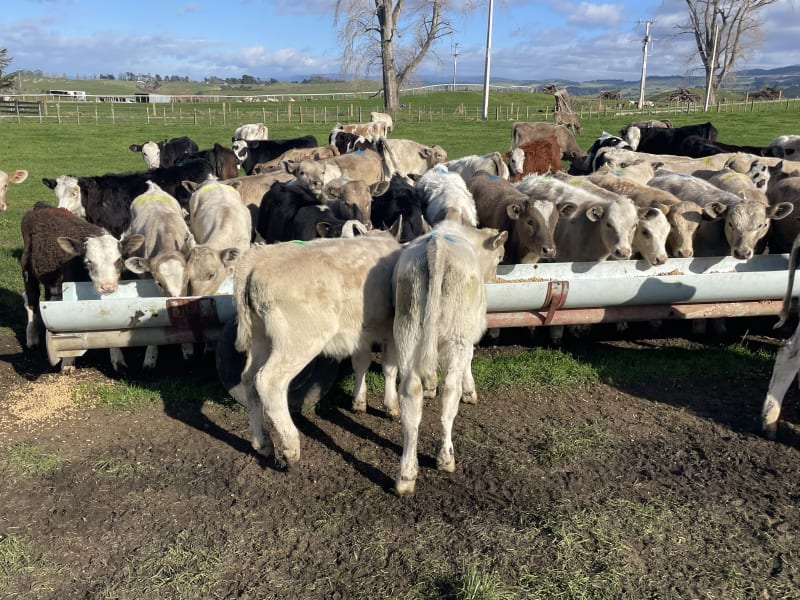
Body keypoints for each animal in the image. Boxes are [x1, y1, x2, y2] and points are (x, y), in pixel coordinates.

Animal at [20, 202, 144, 372]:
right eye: (88, 261)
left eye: (119, 260)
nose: (107, 287)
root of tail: (41, 206)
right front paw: (67, 362)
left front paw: (117, 359)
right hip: (27, 269)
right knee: (31, 299)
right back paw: (32, 337)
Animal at [232, 232, 403, 466]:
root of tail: (257, 258)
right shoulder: (391, 331)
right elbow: (389, 368)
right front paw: (391, 406)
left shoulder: (360, 334)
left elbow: (361, 364)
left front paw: (359, 401)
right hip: (299, 341)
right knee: (268, 381)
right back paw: (290, 446)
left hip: (261, 339)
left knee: (248, 379)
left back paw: (263, 443)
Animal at [393, 220, 507, 495]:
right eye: (500, 257)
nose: (495, 279)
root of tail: (438, 245)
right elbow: (469, 363)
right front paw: (470, 391)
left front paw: (430, 386)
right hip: (457, 335)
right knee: (450, 392)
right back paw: (446, 458)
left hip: (407, 328)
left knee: (410, 395)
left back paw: (406, 476)